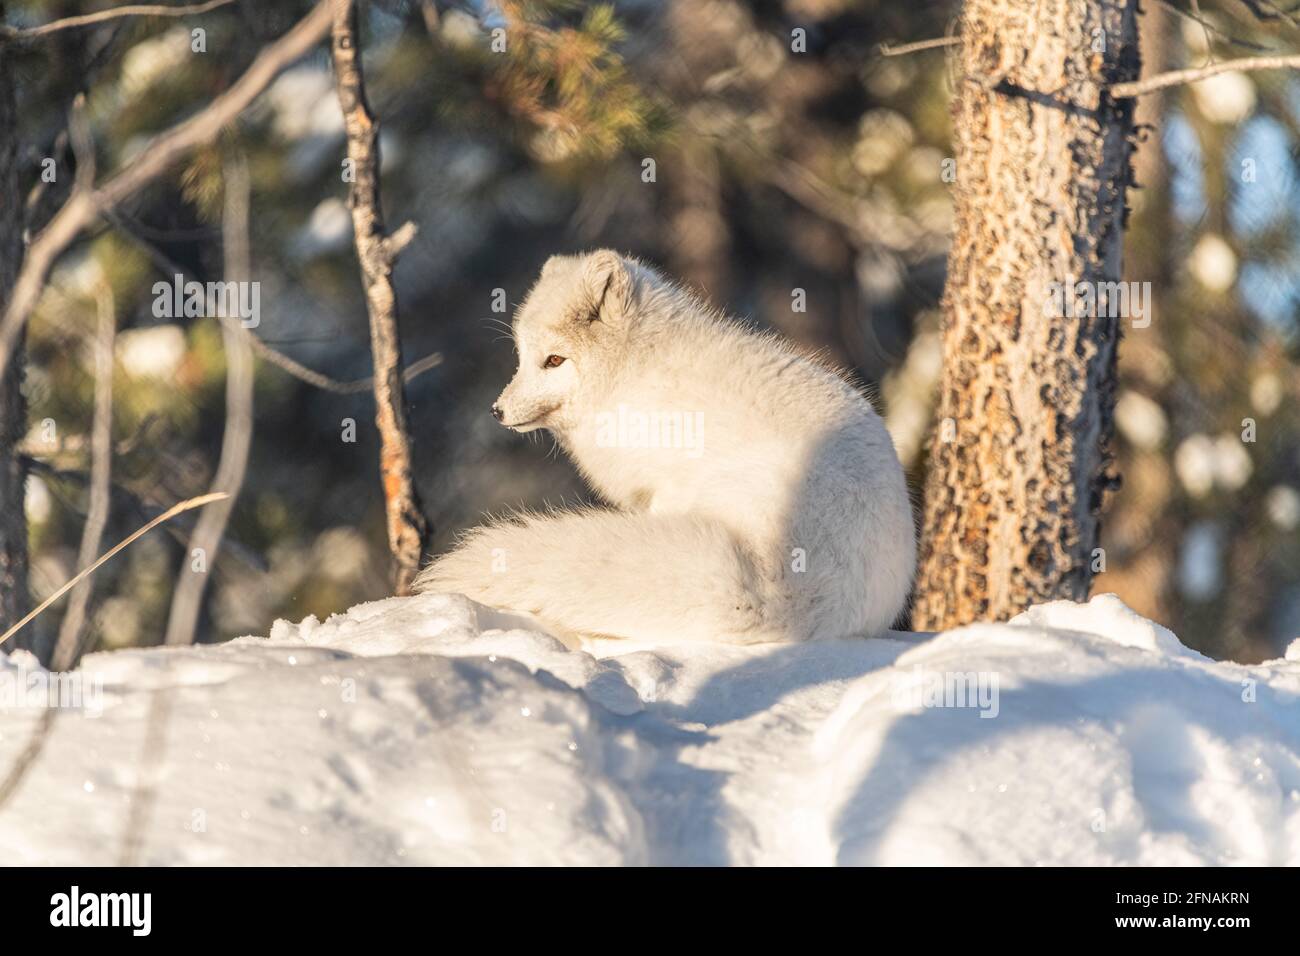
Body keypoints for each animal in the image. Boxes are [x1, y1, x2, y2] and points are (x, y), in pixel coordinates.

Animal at [416, 251, 915, 647]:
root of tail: (786, 591)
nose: (497, 411)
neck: (637, 371)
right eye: (522, 358)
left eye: (554, 360)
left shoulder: (664, 486)